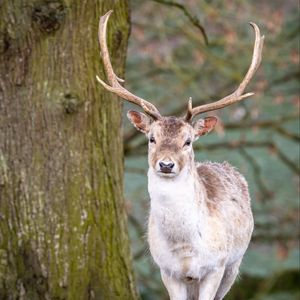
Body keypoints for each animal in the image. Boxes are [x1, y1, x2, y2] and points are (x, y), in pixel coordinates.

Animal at [96, 9, 262, 300]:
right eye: (151, 138)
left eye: (188, 141)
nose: (165, 164)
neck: (185, 249)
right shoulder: (167, 271)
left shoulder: (216, 266)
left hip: (235, 264)